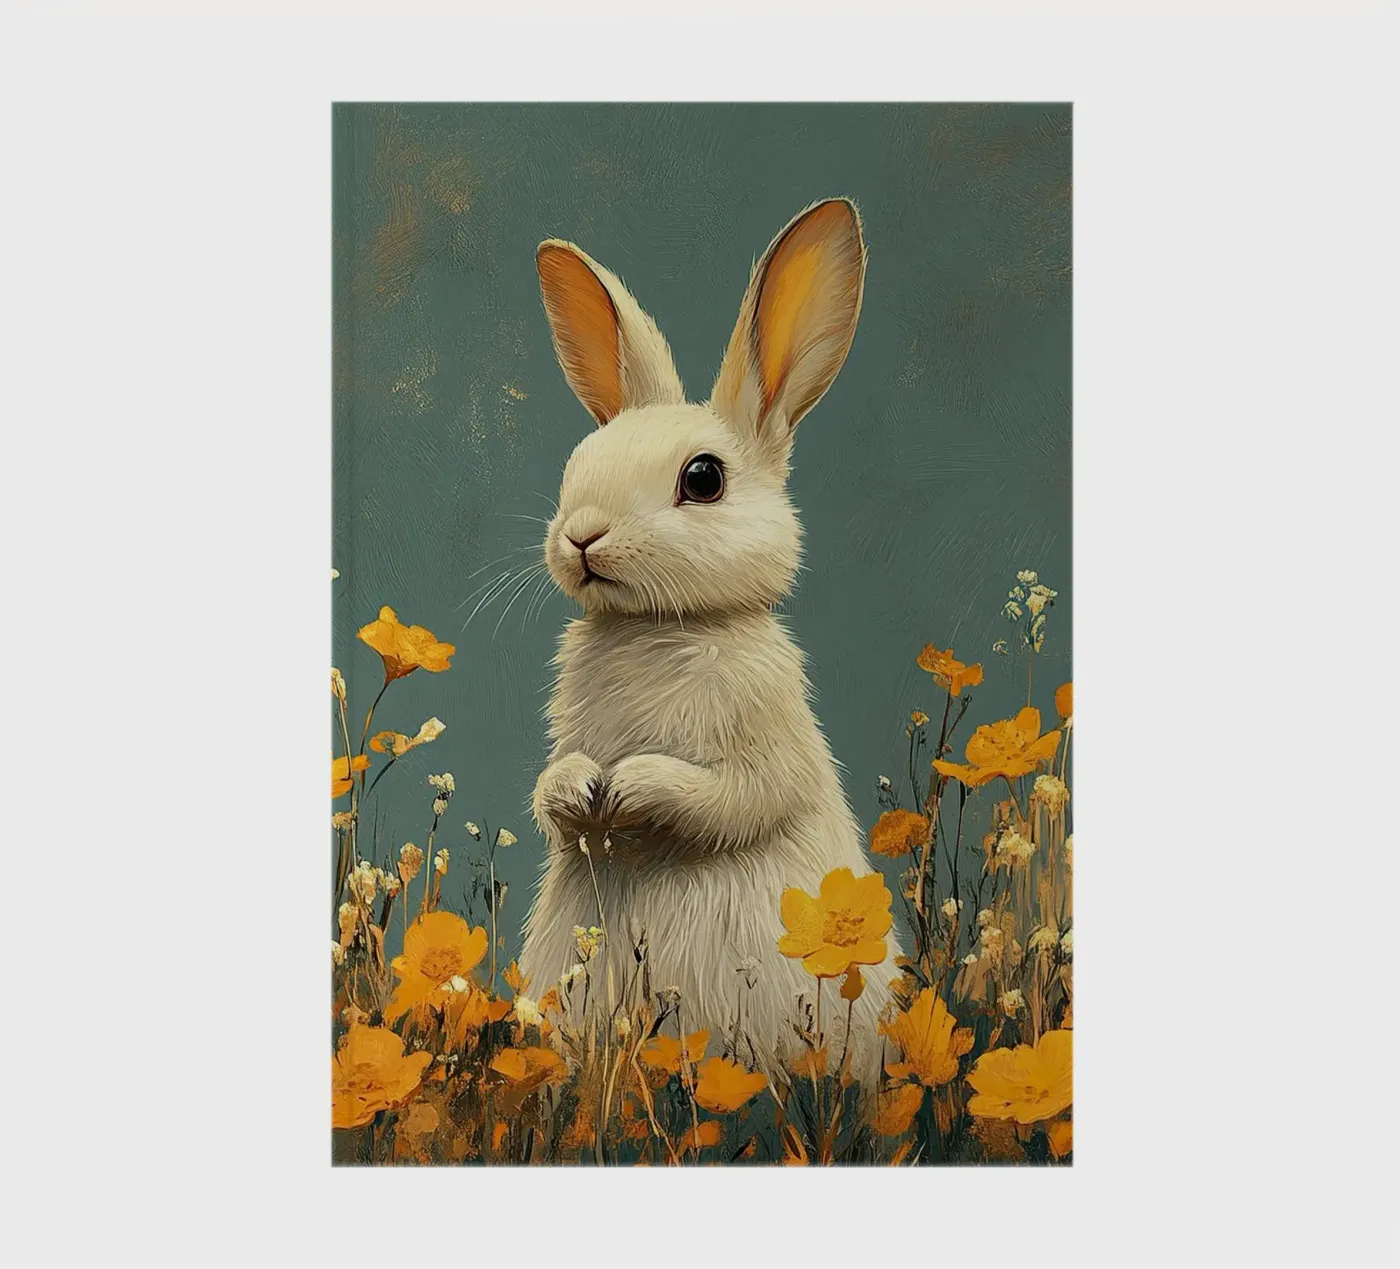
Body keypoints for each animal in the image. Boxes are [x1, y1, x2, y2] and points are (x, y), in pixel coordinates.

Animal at [518, 199, 903, 1084]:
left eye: (703, 479)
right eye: (577, 464)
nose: (581, 537)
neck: (664, 625)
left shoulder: (767, 740)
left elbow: (735, 798)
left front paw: (629, 786)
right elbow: (551, 793)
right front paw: (581, 789)